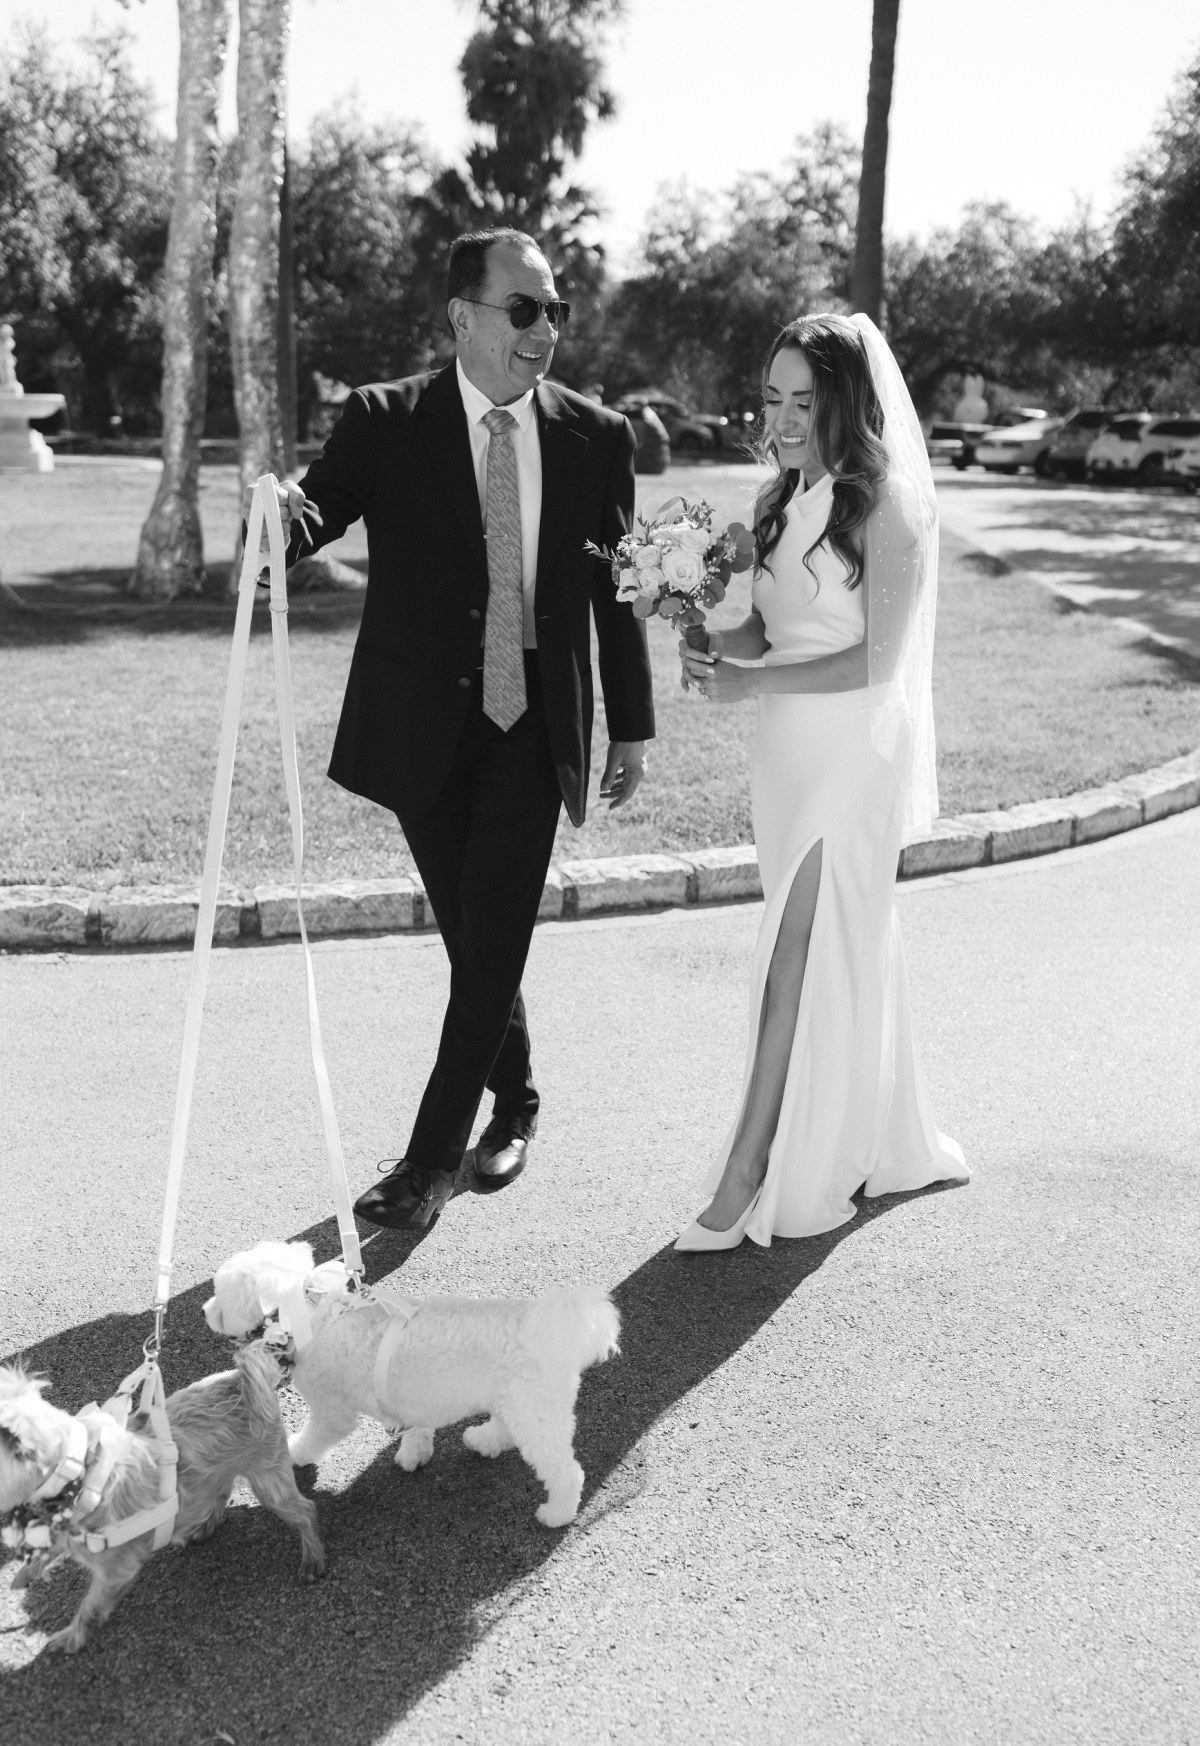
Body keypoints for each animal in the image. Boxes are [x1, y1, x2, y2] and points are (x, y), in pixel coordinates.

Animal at [0, 1340, 323, 1655]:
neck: (82, 1479)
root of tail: (243, 1381)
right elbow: (51, 1547)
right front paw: (27, 1572)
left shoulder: (115, 1572)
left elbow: (90, 1608)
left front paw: (71, 1638)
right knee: (220, 1488)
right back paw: (205, 1525)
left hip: (269, 1480)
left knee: (305, 1510)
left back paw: (312, 1558)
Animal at [205, 1243, 618, 1529]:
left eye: (220, 1296)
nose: (205, 1310)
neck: (311, 1315)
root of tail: (551, 1327)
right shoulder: (410, 1400)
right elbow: (417, 1430)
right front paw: (414, 1453)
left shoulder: (331, 1409)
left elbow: (314, 1437)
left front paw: (292, 1453)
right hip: (516, 1401)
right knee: (505, 1427)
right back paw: (483, 1440)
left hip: (535, 1414)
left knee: (565, 1471)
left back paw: (557, 1513)